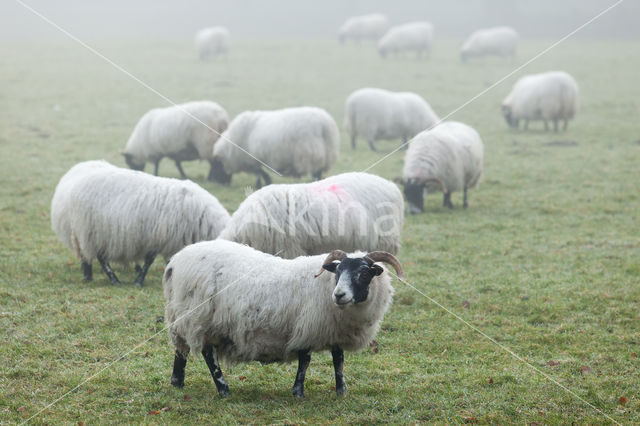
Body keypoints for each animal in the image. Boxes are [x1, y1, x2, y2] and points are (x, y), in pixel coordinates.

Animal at [50, 160, 230, 286]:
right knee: (99, 257)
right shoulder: (158, 237)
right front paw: (139, 281)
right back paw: (112, 279)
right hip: (93, 232)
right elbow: (149, 260)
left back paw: (90, 275)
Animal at [164, 241, 404, 398]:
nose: (339, 295)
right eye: (338, 272)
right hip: (200, 318)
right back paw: (223, 390)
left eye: (364, 273)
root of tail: (175, 261)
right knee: (207, 354)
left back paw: (177, 382)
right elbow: (305, 360)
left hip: (182, 317)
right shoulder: (306, 327)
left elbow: (338, 360)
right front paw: (298, 392)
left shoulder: (333, 331)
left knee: (181, 350)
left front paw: (341, 391)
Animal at [211, 106, 342, 186]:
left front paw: (261, 184)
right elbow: (260, 172)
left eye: (218, 164)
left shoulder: (251, 159)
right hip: (325, 154)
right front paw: (266, 182)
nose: (218, 183)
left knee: (316, 175)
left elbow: (259, 173)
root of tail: (325, 125)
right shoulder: (254, 159)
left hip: (311, 154)